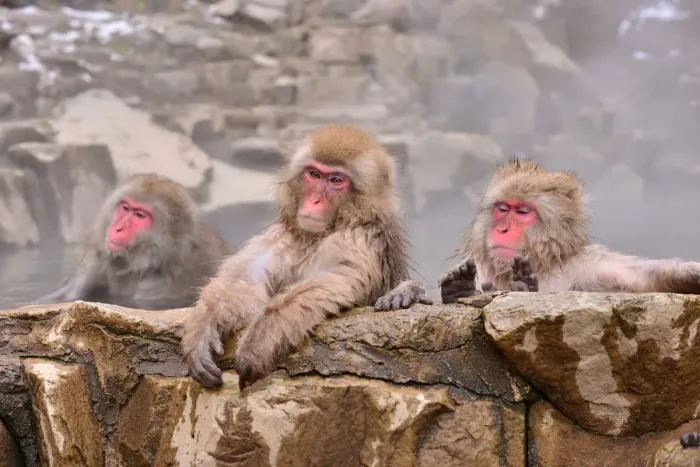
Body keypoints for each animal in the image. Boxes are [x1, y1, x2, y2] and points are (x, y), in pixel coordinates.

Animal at [181, 125, 431, 390]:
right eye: (314, 174)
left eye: (336, 180)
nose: (314, 201)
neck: (320, 233)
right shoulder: (285, 235)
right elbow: (245, 277)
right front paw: (203, 331)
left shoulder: (356, 240)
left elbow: (332, 281)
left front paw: (258, 339)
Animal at [439, 158, 700, 303]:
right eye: (503, 209)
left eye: (522, 211)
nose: (502, 229)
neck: (541, 265)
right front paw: (460, 288)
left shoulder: (591, 269)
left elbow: (642, 277)